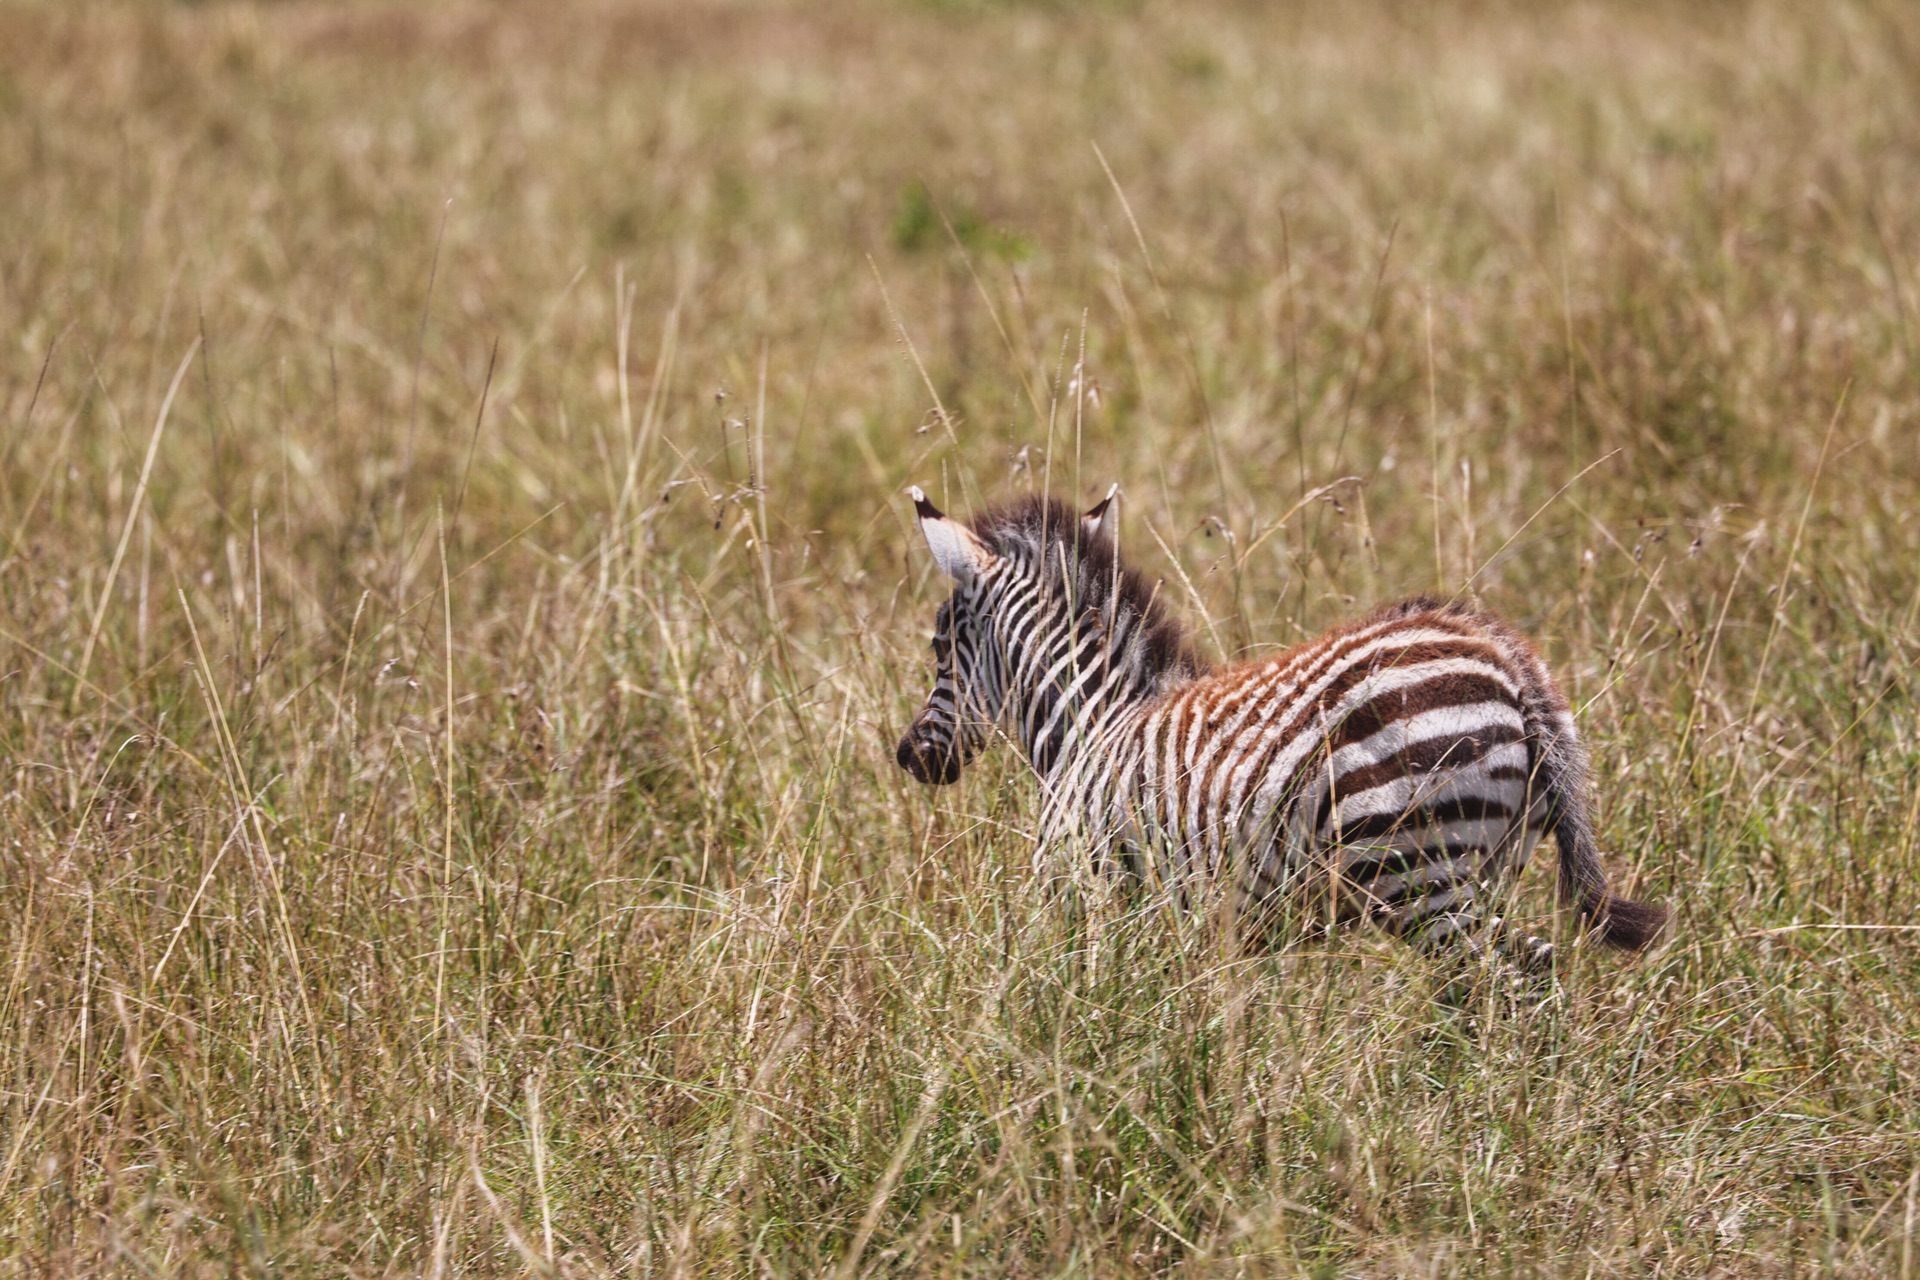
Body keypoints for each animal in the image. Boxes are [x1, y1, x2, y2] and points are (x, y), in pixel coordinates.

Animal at [894, 485, 1666, 974]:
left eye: (937, 646)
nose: (909, 757)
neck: (1091, 723)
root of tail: (1508, 660)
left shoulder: (1092, 897)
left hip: (1427, 880)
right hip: (1484, 872)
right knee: (1534, 979)